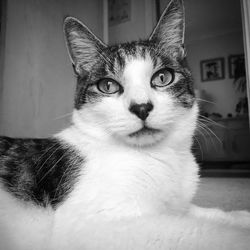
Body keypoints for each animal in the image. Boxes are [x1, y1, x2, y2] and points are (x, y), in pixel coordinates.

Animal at [0, 0, 249, 249]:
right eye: (108, 86)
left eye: (162, 77)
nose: (141, 107)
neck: (160, 157)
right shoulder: (89, 224)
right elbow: (193, 230)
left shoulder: (177, 206)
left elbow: (197, 212)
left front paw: (240, 216)